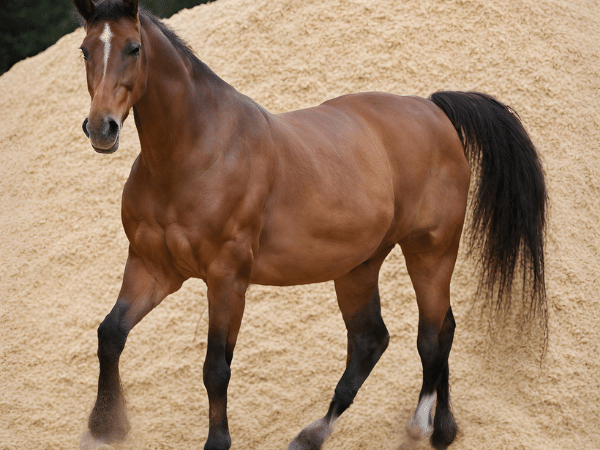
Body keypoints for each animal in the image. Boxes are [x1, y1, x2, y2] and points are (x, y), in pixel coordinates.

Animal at [72, 0, 548, 450]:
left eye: (134, 48)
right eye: (85, 50)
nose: (101, 128)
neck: (193, 153)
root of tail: (433, 110)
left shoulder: (227, 278)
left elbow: (216, 369)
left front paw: (217, 441)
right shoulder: (154, 267)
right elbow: (110, 333)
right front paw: (103, 429)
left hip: (431, 251)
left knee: (432, 335)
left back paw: (417, 427)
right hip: (358, 266)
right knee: (377, 339)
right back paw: (396, 431)